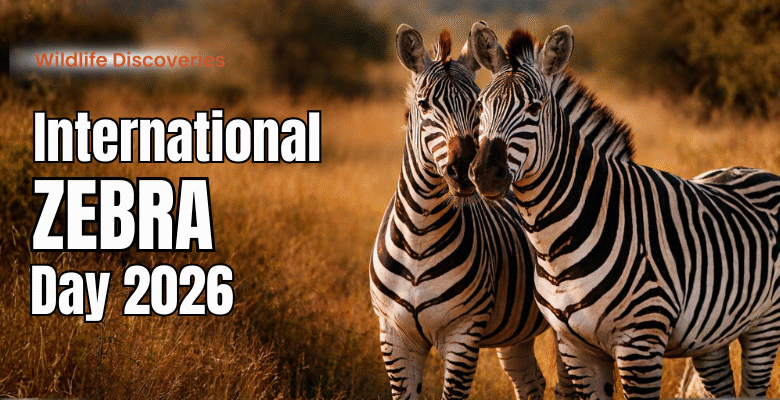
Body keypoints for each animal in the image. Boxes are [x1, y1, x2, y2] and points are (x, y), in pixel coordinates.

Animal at [370, 24, 560, 400]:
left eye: (476, 104)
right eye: (424, 105)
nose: (466, 170)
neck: (420, 233)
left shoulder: (463, 334)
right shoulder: (394, 338)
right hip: (516, 332)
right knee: (532, 381)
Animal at [467, 21, 780, 400]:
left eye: (535, 107)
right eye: (480, 106)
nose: (486, 173)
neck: (556, 243)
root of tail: (758, 170)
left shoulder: (640, 343)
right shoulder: (576, 346)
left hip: (766, 323)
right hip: (712, 335)